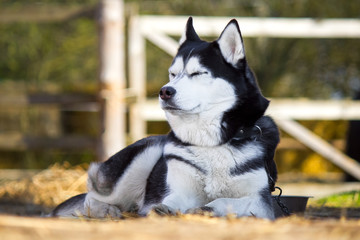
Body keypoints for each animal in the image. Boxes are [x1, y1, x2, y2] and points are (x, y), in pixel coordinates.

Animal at [51, 16, 278, 219]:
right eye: (173, 74)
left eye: (198, 73)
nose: (165, 91)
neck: (210, 144)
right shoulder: (178, 189)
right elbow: (170, 200)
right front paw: (163, 208)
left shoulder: (261, 201)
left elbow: (228, 201)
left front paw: (207, 208)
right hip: (146, 154)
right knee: (91, 197)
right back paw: (107, 210)